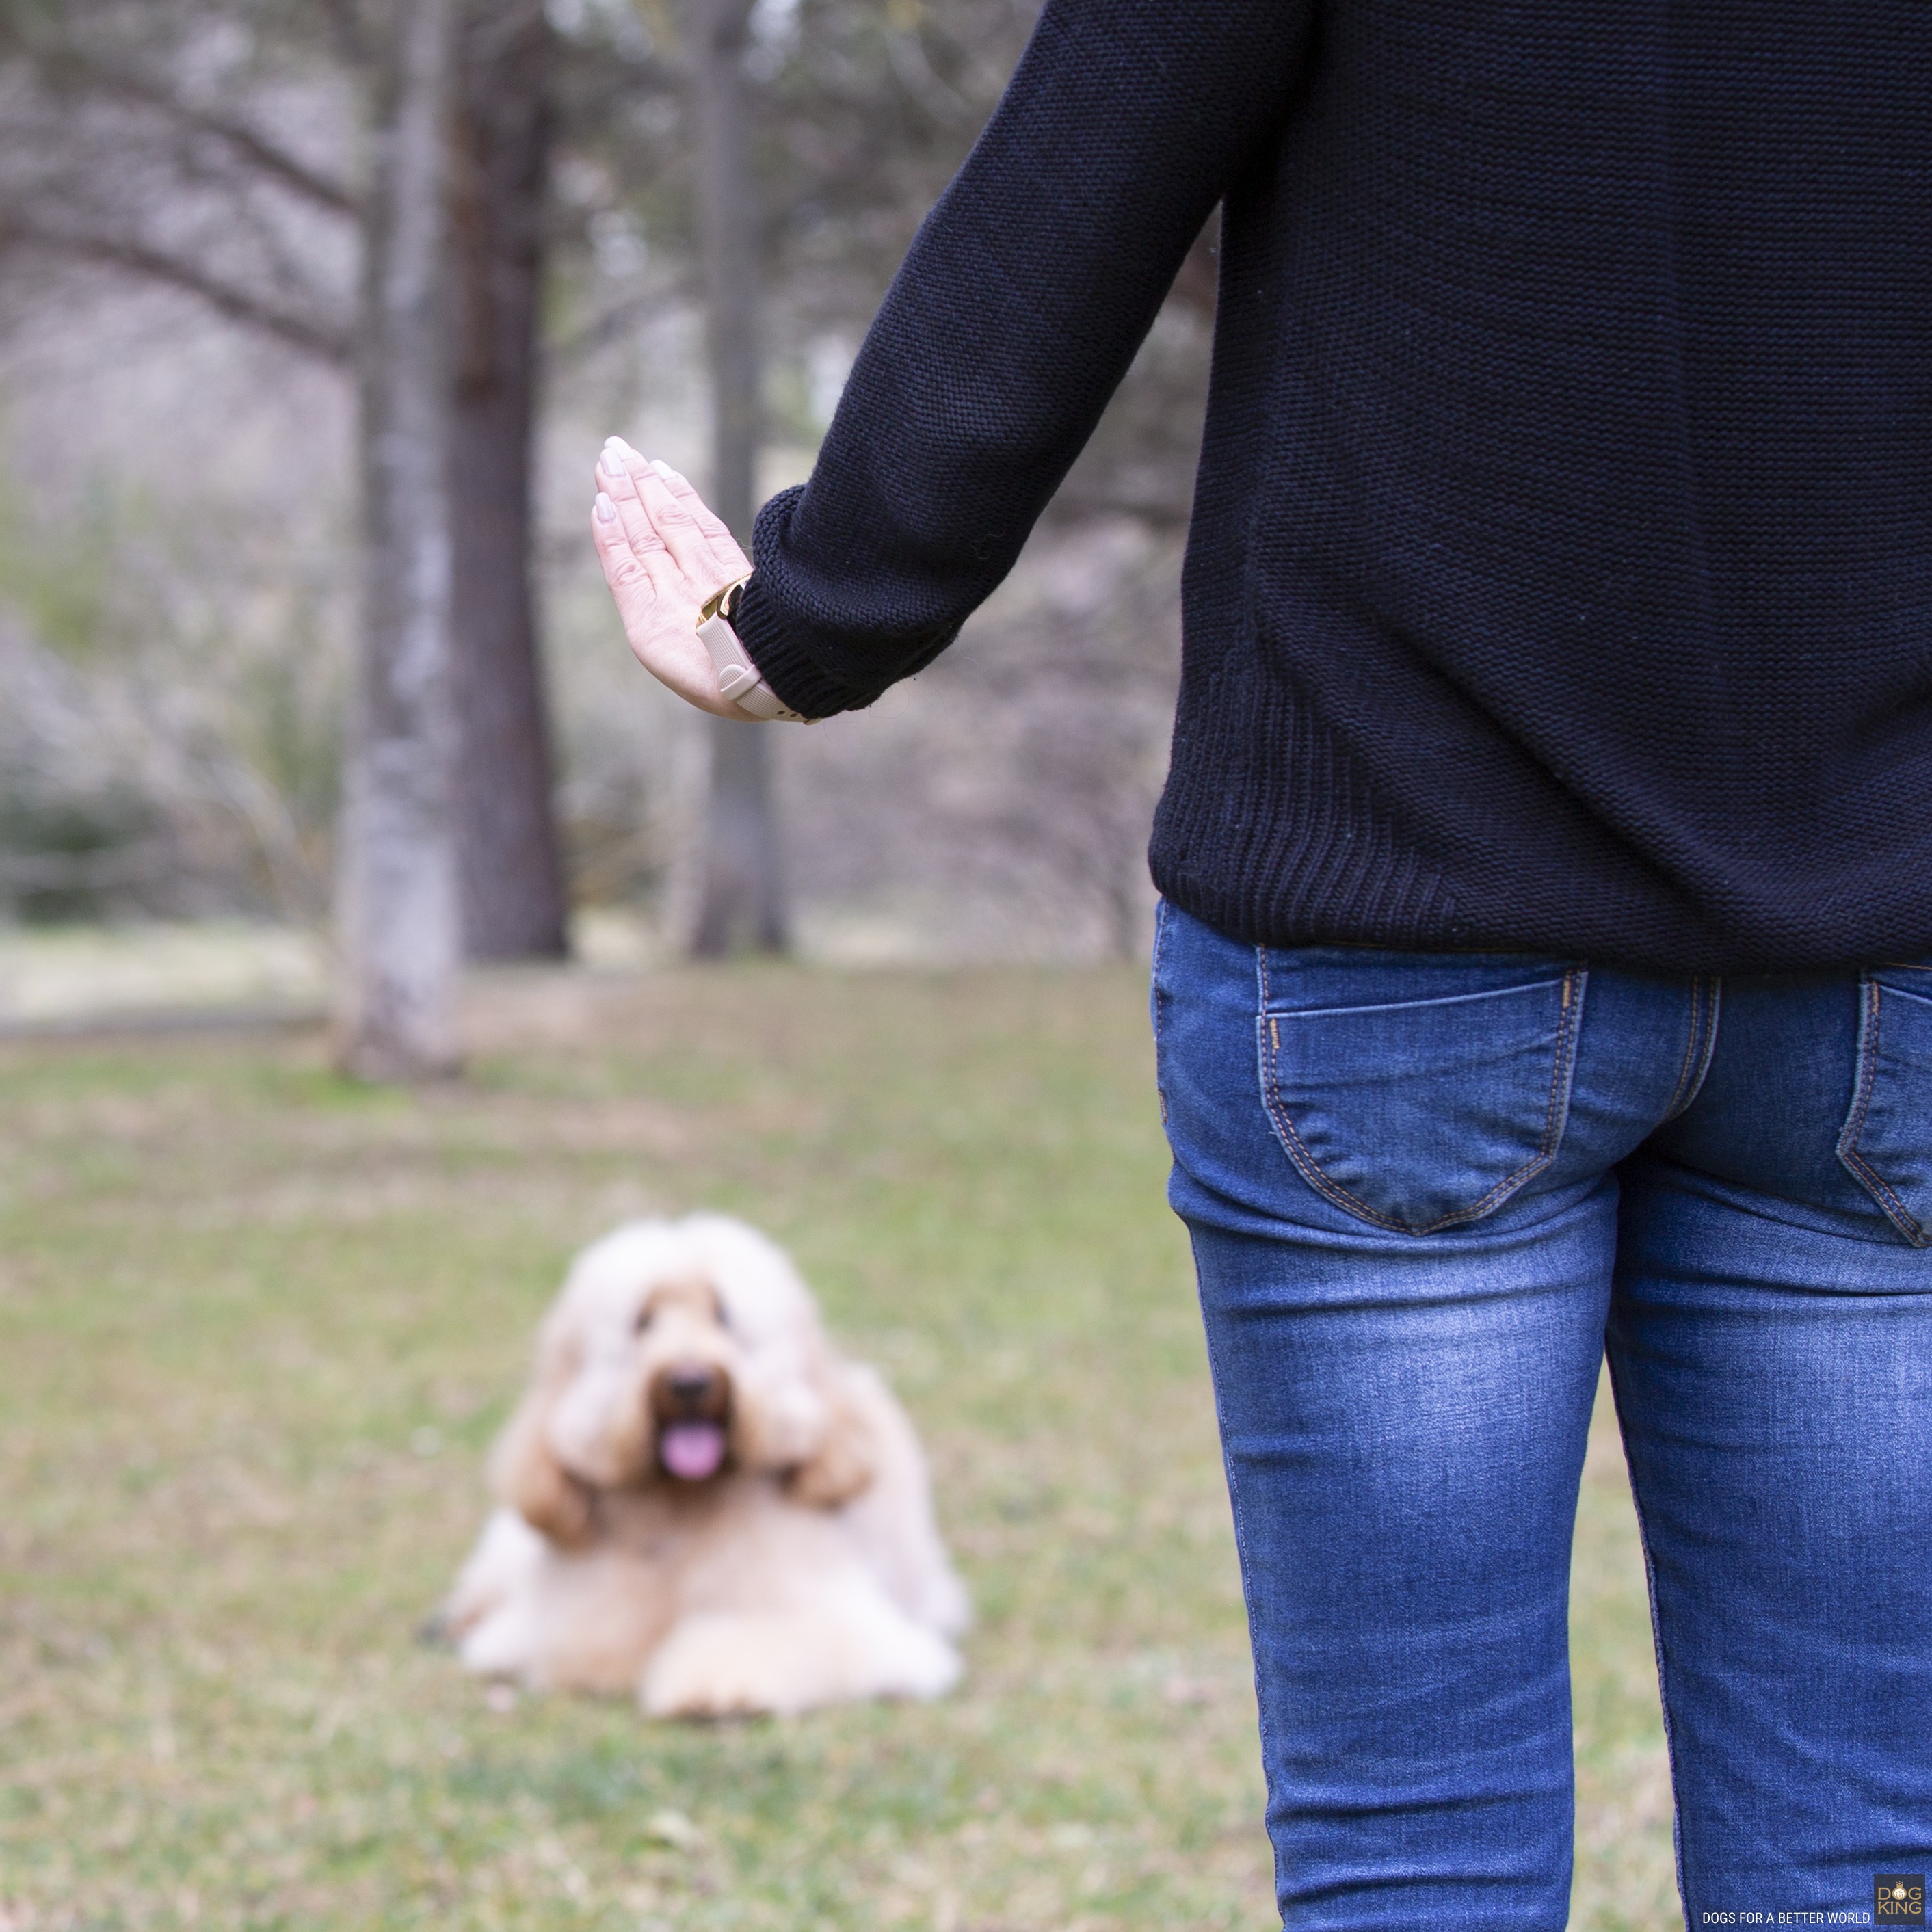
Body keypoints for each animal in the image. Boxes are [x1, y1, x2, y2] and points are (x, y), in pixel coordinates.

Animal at [444, 1213, 973, 1715]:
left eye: (723, 1314)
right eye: (643, 1321)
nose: (689, 1382)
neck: (685, 1507)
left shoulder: (839, 1622)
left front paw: (715, 1690)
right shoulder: (571, 1616)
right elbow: (585, 1643)